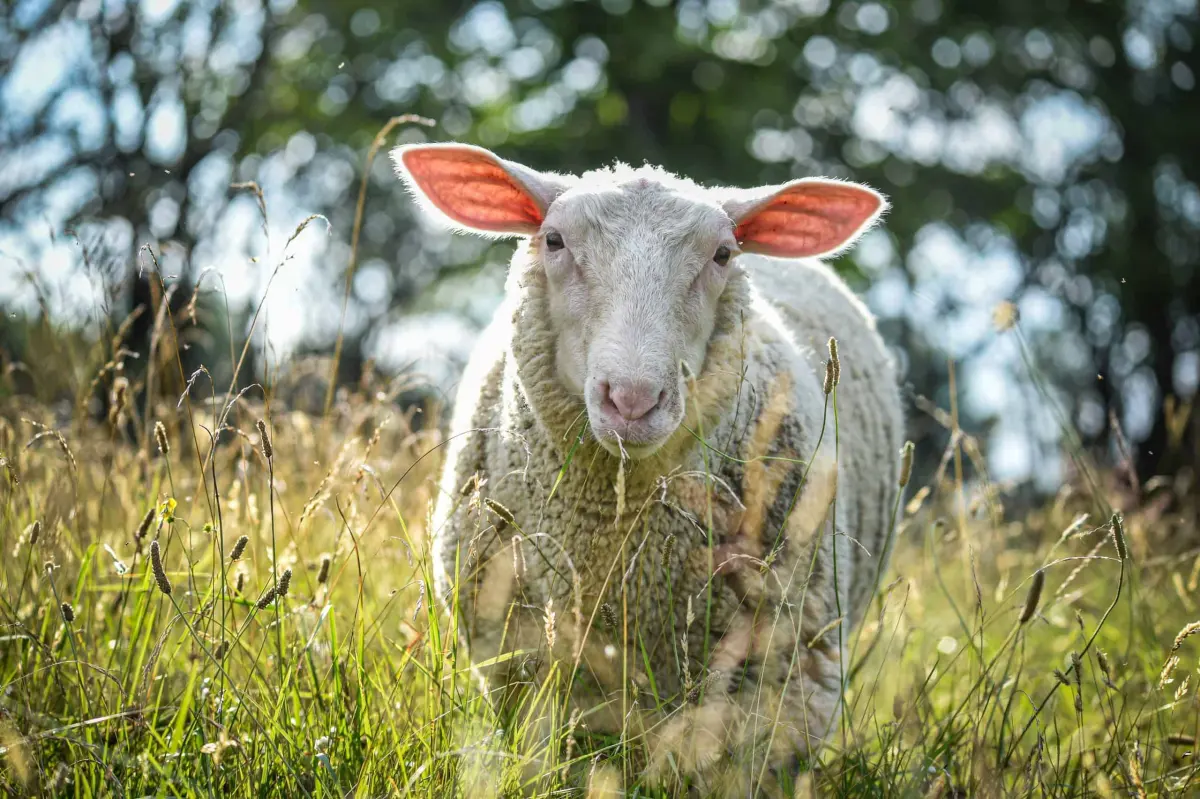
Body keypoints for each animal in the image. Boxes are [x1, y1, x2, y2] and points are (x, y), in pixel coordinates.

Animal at [392, 142, 906, 796]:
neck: (615, 558)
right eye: (554, 240)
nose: (633, 399)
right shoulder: (523, 668)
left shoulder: (778, 684)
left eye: (723, 254)